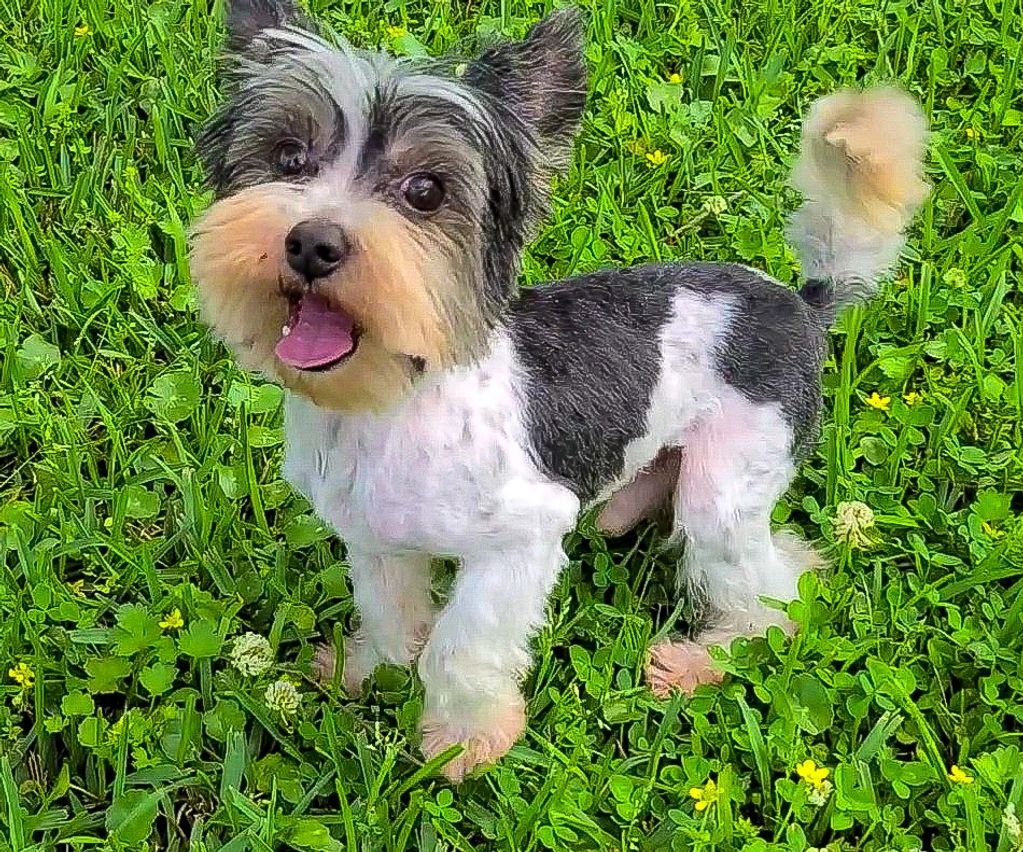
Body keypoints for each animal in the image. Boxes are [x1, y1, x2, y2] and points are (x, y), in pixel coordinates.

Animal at [188, 0, 932, 777]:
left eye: (425, 191)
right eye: (287, 158)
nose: (313, 242)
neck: (392, 401)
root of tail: (802, 301)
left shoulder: (523, 539)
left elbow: (461, 645)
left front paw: (466, 739)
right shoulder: (376, 538)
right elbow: (389, 612)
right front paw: (367, 672)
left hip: (726, 488)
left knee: (779, 593)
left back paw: (703, 662)